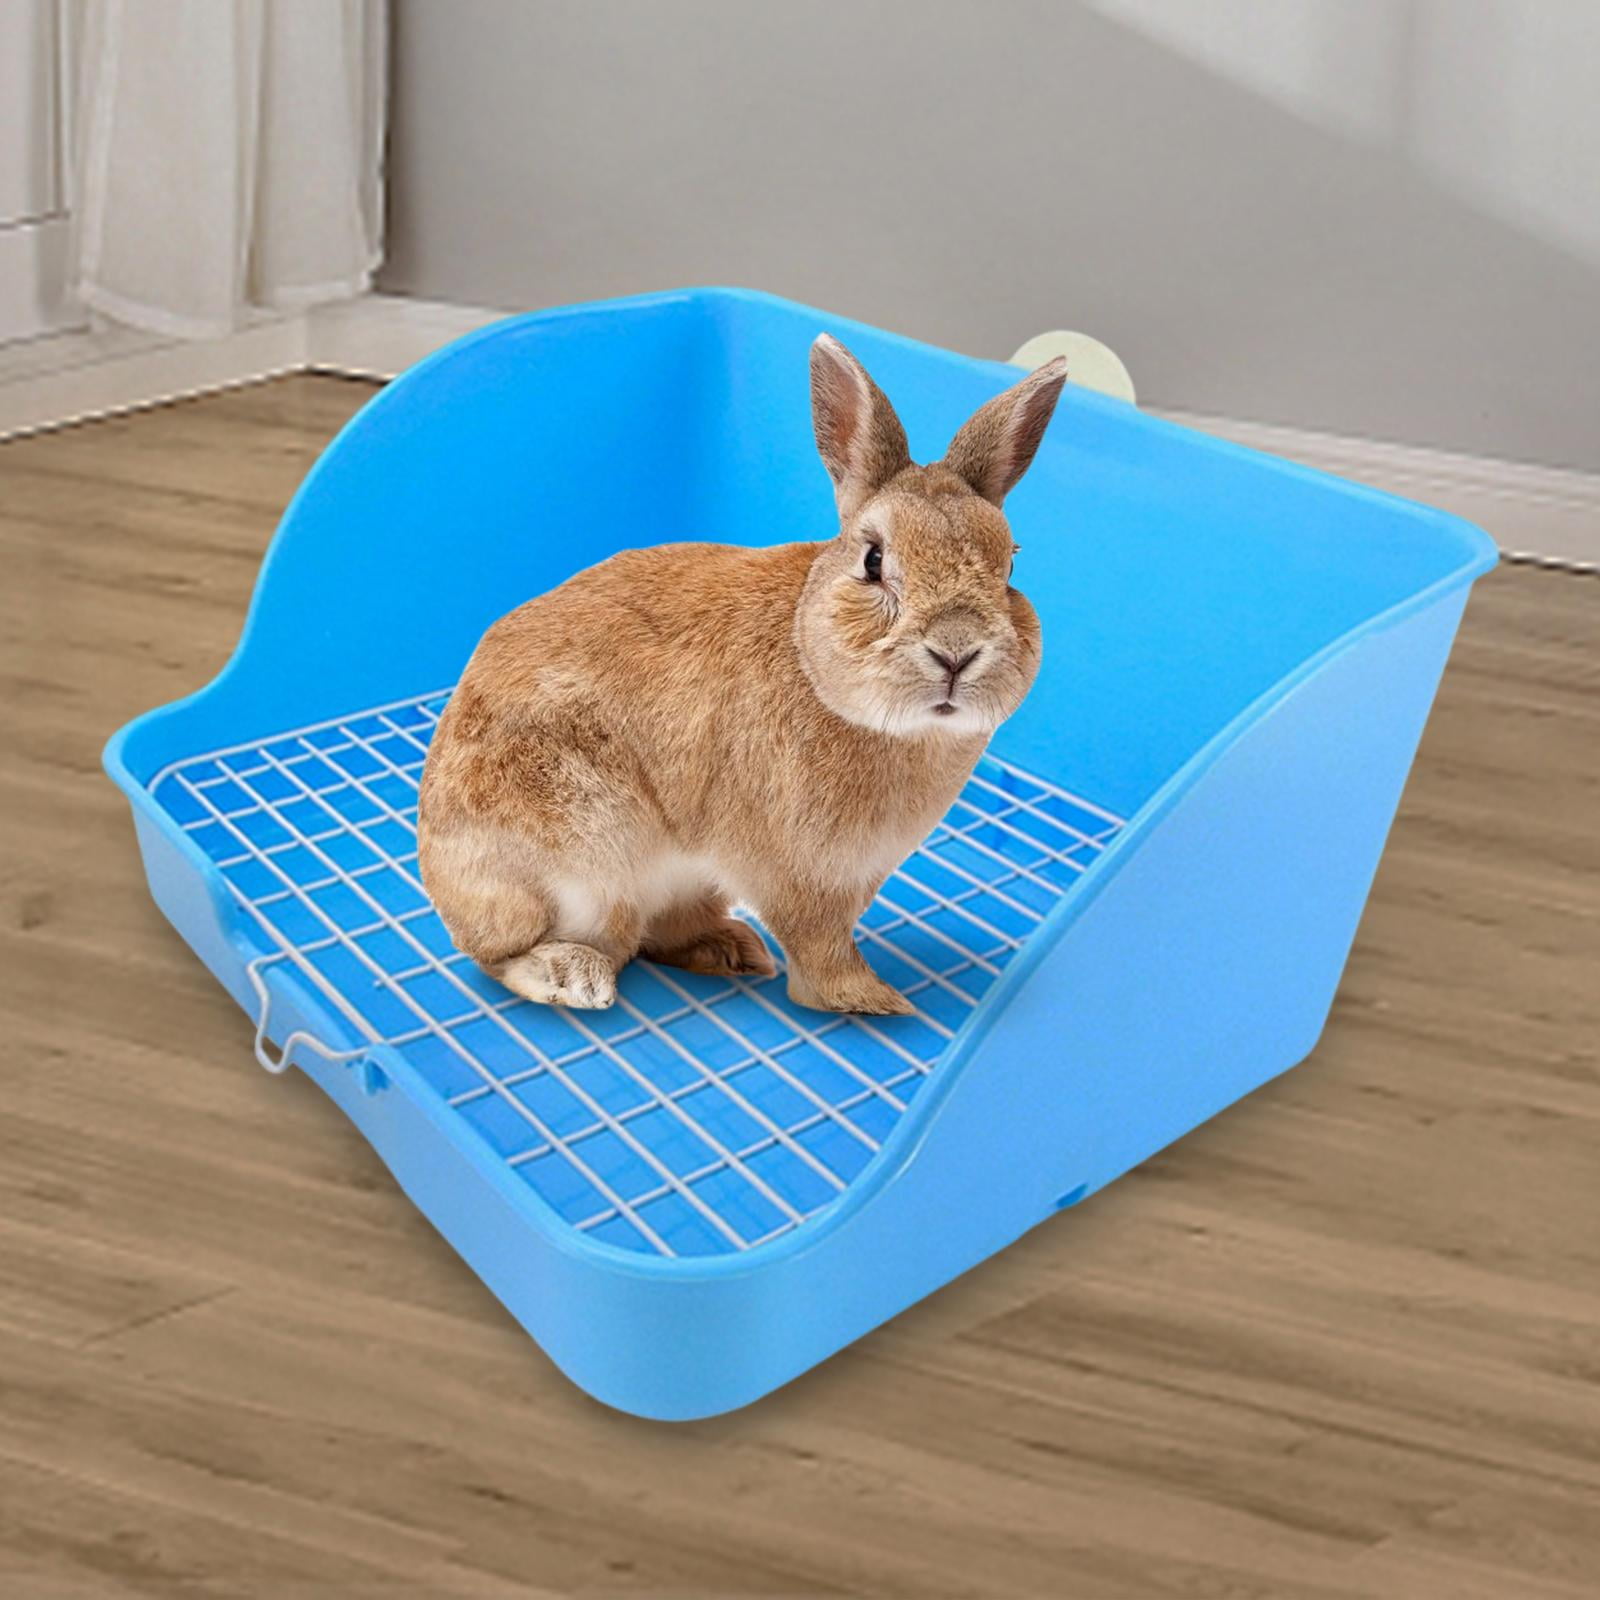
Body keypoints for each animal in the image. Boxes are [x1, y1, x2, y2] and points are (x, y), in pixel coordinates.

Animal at [417, 335, 1067, 1015]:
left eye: (1010, 566)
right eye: (873, 560)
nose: (957, 651)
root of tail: (435, 874)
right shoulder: (796, 873)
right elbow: (819, 946)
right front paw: (874, 1001)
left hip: (678, 881)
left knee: (659, 933)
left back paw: (730, 950)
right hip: (581, 867)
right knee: (507, 956)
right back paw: (575, 977)